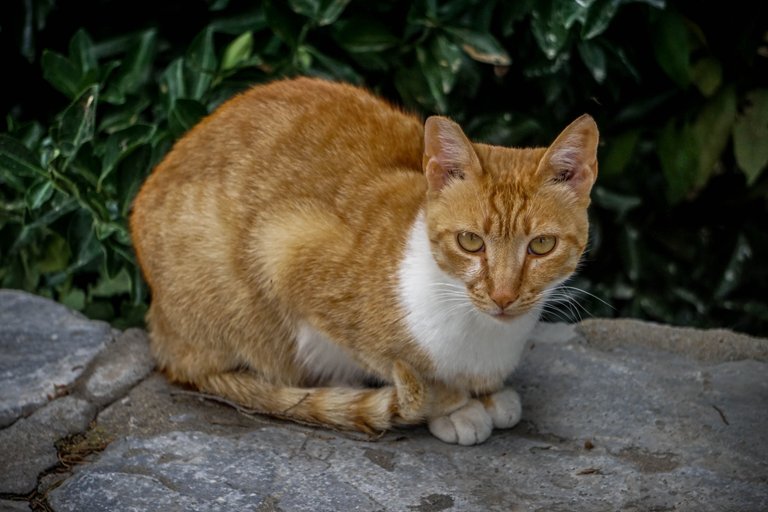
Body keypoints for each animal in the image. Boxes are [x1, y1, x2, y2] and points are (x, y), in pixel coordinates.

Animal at [130, 76, 600, 444]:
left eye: (541, 245)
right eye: (470, 242)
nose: (503, 295)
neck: (480, 332)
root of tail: (159, 329)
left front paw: (485, 392)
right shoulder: (286, 249)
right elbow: (405, 371)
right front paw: (454, 405)